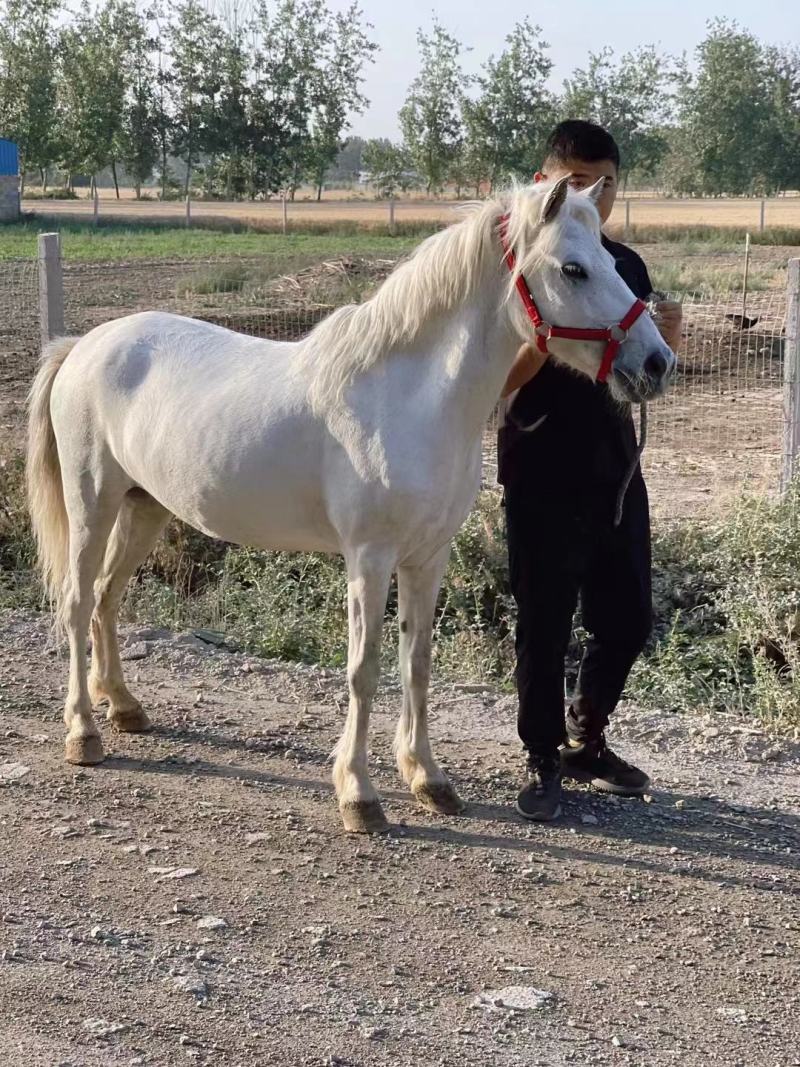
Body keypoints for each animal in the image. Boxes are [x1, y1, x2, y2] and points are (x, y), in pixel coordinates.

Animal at [26, 177, 675, 834]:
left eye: (612, 261)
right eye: (573, 268)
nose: (656, 362)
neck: (407, 397)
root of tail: (83, 345)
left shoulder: (427, 557)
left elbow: (417, 662)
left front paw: (428, 779)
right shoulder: (369, 558)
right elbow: (364, 670)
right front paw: (359, 795)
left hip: (145, 507)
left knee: (106, 597)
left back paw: (124, 707)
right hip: (92, 504)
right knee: (78, 602)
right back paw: (83, 733)